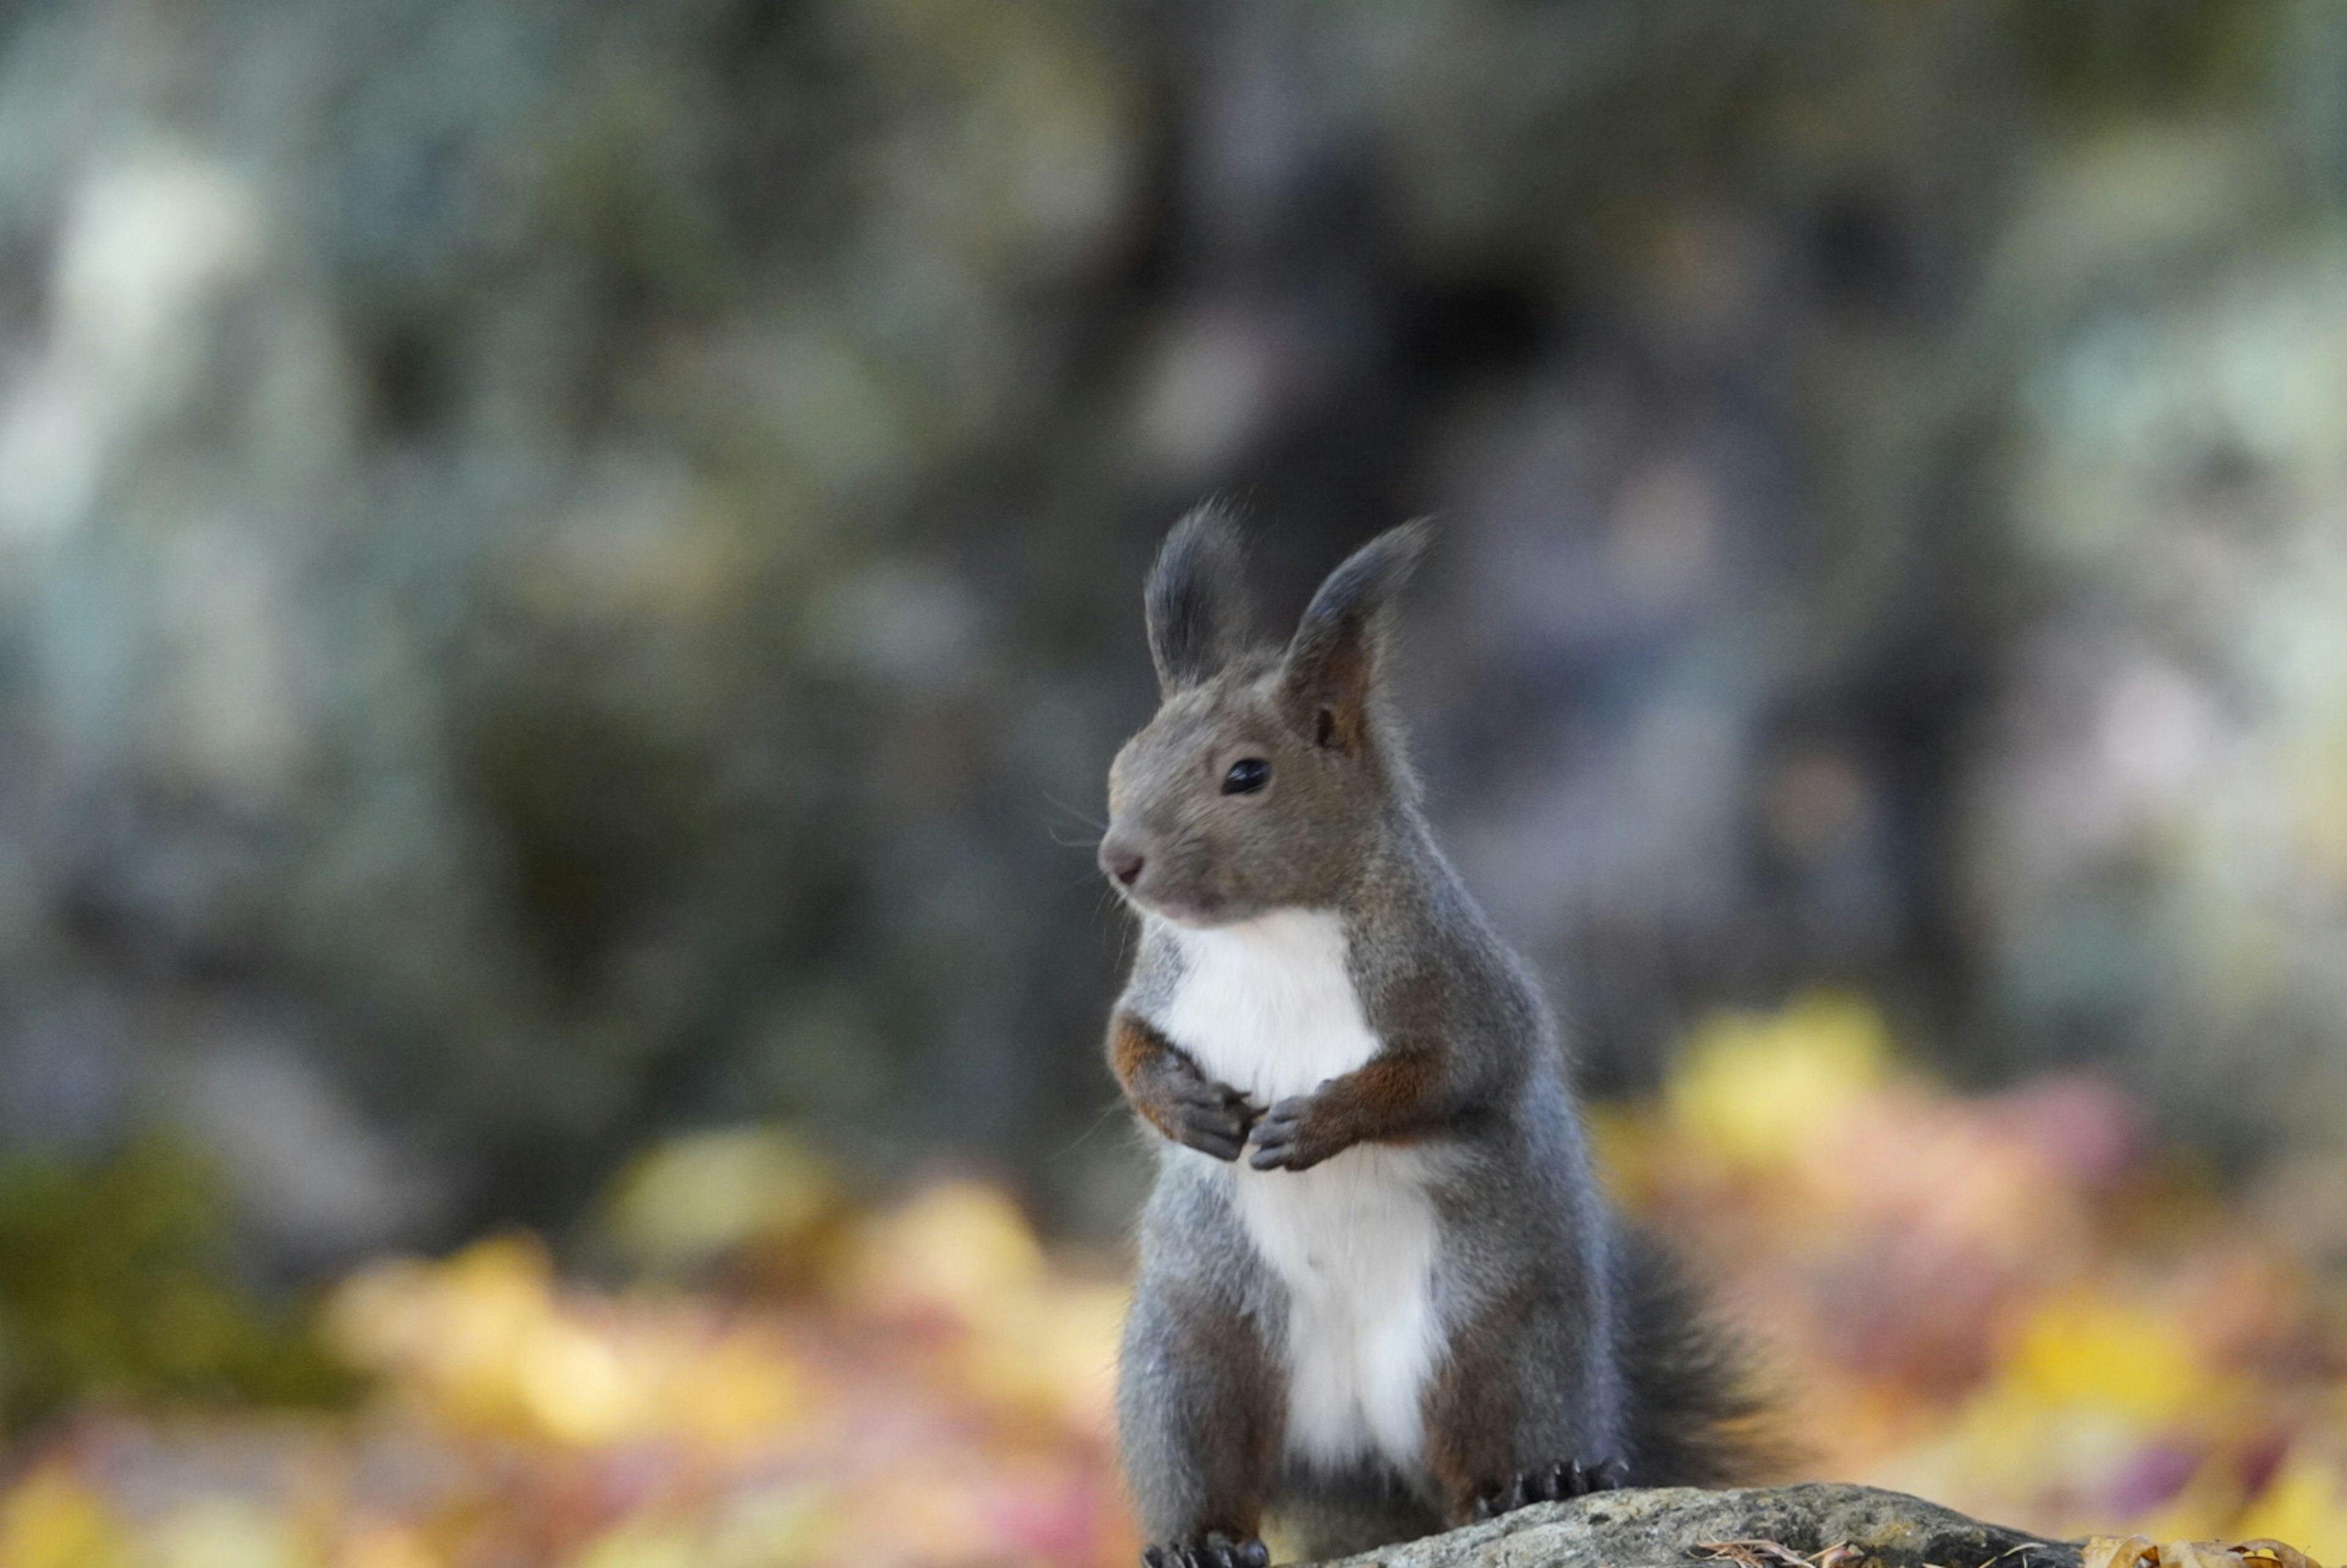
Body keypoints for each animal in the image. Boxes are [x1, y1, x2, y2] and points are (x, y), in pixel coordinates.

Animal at [1093, 504, 1765, 1568]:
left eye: (1247, 774)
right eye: (1125, 760)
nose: (1120, 858)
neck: (1267, 932)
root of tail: (1359, 1451)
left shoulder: (1457, 989)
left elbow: (1446, 1073)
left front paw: (1318, 1123)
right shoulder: (1162, 983)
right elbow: (1125, 1042)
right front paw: (1186, 1109)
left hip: (1494, 1343)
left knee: (1486, 1453)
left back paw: (1538, 1481)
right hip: (1195, 1353)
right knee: (1205, 1459)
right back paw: (1202, 1540)